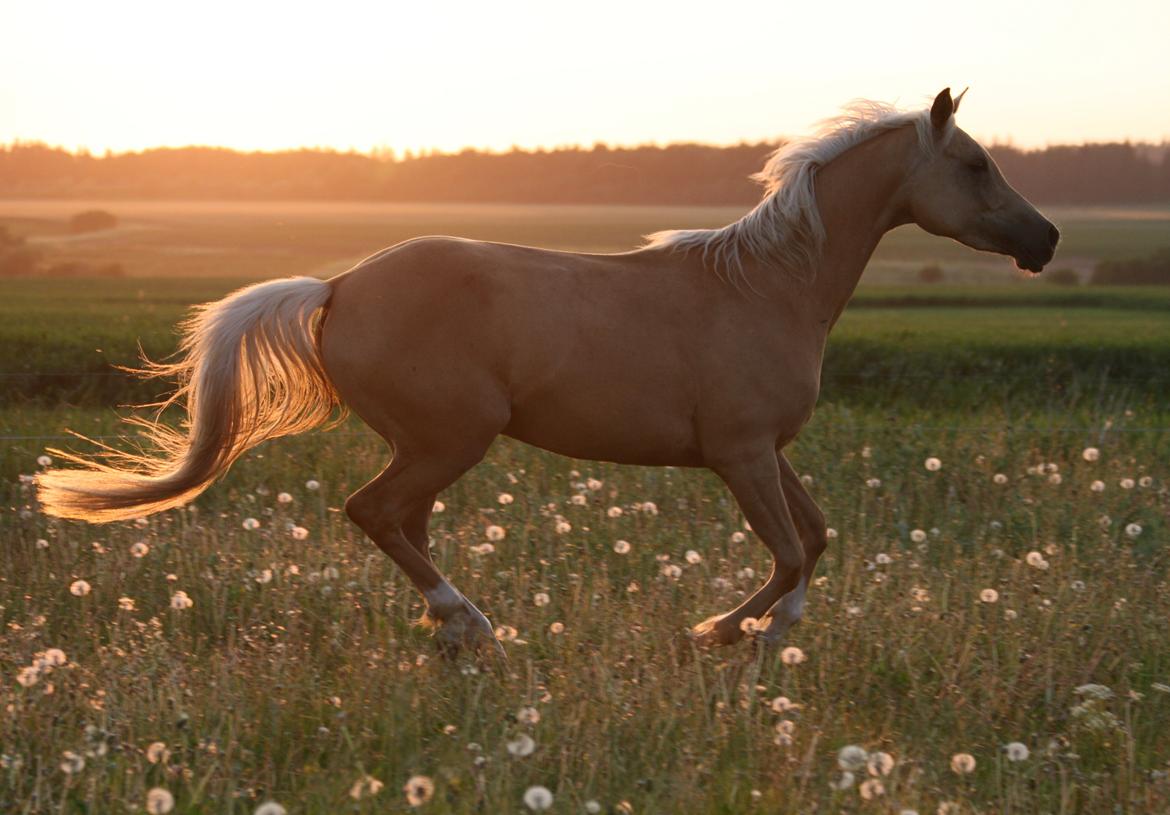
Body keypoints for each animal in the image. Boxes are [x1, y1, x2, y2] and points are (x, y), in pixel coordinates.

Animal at [38, 88, 1062, 654]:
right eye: (976, 163)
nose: (1045, 240)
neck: (771, 285)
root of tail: (337, 286)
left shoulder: (767, 449)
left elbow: (815, 538)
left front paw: (766, 631)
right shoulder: (739, 454)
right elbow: (786, 550)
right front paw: (723, 630)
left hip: (436, 445)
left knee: (400, 520)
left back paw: (457, 633)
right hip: (451, 437)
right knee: (374, 512)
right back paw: (470, 621)